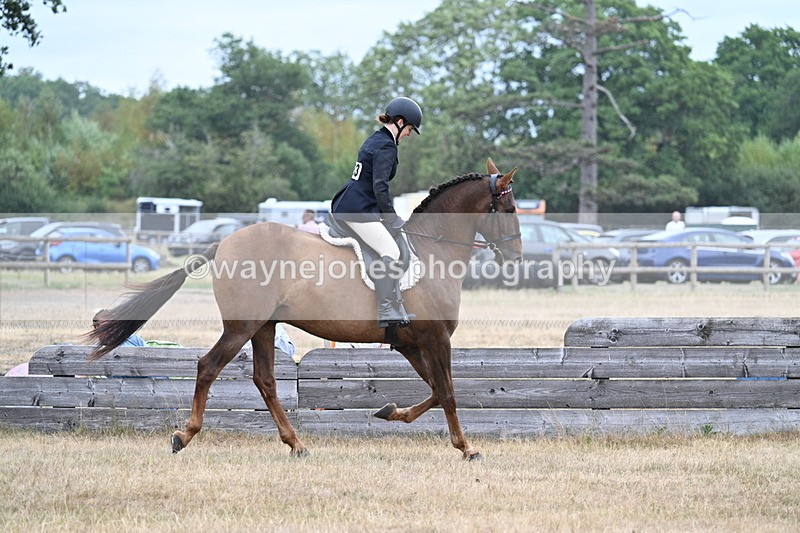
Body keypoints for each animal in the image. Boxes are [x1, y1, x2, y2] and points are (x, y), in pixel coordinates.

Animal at [88, 158, 522, 461]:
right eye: (511, 210)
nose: (517, 257)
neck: (433, 249)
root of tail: (223, 243)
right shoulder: (435, 339)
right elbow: (447, 391)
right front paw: (466, 448)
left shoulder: (411, 343)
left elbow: (433, 390)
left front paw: (389, 411)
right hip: (242, 326)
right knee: (208, 367)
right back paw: (184, 435)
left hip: (263, 326)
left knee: (265, 380)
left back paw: (295, 444)